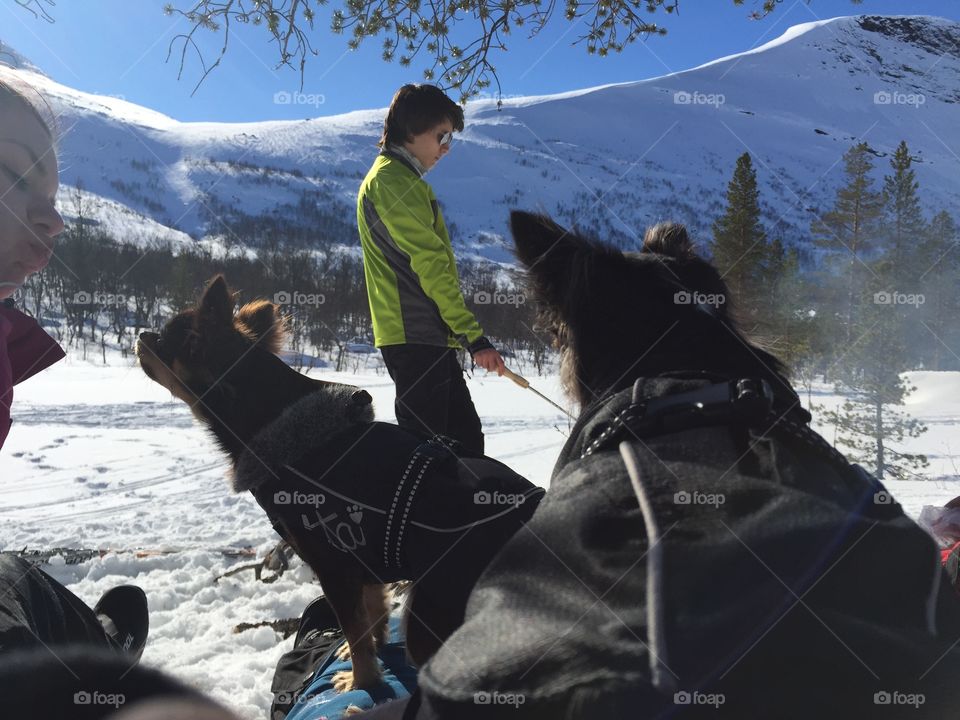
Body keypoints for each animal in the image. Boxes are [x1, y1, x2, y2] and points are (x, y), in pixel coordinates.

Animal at [136, 276, 544, 692]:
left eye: (164, 340)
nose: (140, 334)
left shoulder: (331, 564)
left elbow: (354, 627)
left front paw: (361, 681)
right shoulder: (362, 557)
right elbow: (371, 614)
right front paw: (366, 656)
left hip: (431, 616)